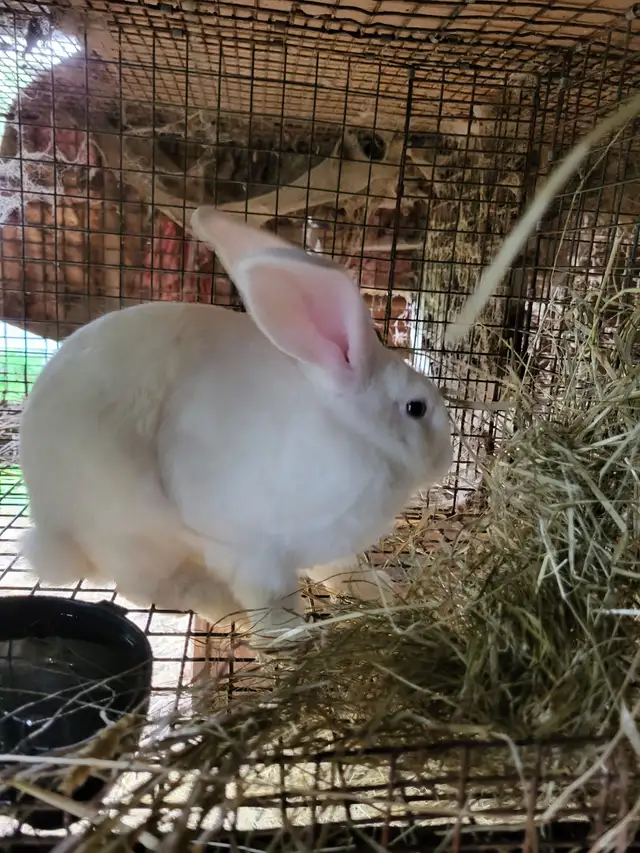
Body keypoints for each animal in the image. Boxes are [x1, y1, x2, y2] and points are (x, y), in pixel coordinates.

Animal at [18, 207, 453, 651]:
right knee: (165, 588)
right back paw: (232, 614)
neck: (354, 433)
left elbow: (337, 569)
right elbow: (274, 604)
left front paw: (376, 587)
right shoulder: (256, 554)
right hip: (133, 532)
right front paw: (289, 639)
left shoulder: (329, 546)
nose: (447, 457)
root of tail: (53, 528)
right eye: (416, 408)